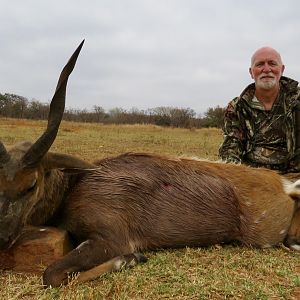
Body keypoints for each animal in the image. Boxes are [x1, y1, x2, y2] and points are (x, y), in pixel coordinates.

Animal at [0, 41, 298, 288]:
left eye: (32, 184)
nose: (3, 238)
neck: (74, 187)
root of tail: (282, 184)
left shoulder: (111, 238)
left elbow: (51, 275)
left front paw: (132, 258)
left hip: (264, 236)